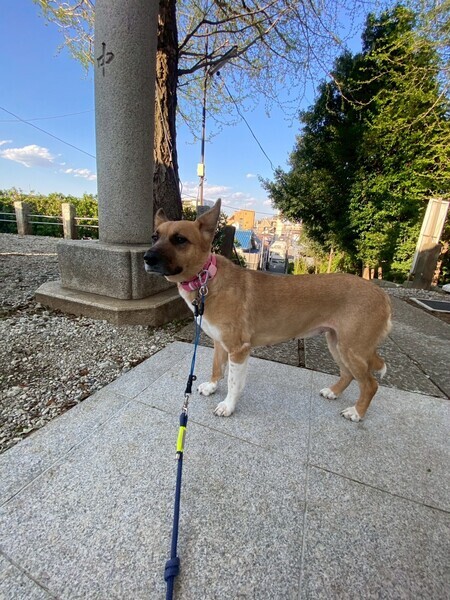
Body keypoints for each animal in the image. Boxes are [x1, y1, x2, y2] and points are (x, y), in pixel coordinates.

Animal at [144, 199, 392, 422]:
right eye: (155, 237)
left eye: (180, 239)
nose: (147, 257)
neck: (207, 279)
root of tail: (382, 295)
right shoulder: (219, 343)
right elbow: (217, 367)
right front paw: (212, 386)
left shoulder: (239, 350)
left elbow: (234, 382)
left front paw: (228, 406)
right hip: (336, 343)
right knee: (348, 374)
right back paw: (334, 392)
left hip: (352, 349)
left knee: (370, 385)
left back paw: (356, 413)